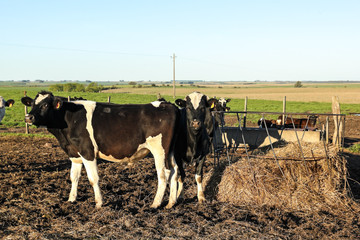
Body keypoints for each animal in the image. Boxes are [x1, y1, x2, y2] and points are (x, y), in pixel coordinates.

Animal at [20, 91, 180, 209]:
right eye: (32, 104)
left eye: (45, 105)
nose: (28, 117)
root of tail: (167, 104)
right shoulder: (74, 154)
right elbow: (74, 177)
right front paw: (71, 199)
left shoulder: (87, 152)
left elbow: (93, 179)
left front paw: (99, 203)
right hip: (170, 151)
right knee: (174, 171)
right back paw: (171, 203)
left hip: (159, 150)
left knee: (164, 174)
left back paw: (155, 204)